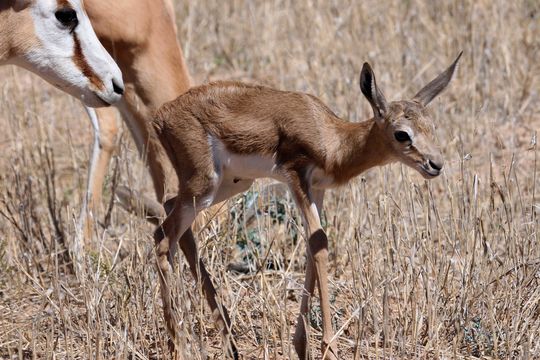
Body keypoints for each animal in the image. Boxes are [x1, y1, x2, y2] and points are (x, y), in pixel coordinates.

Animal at [151, 52, 460, 358]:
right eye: (402, 133)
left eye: (431, 127)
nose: (435, 165)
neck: (332, 139)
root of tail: (162, 114)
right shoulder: (296, 177)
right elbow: (319, 243)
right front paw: (329, 349)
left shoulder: (318, 189)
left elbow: (314, 247)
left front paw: (301, 345)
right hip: (205, 185)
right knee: (164, 237)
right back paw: (178, 345)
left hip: (231, 184)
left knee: (169, 217)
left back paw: (227, 340)